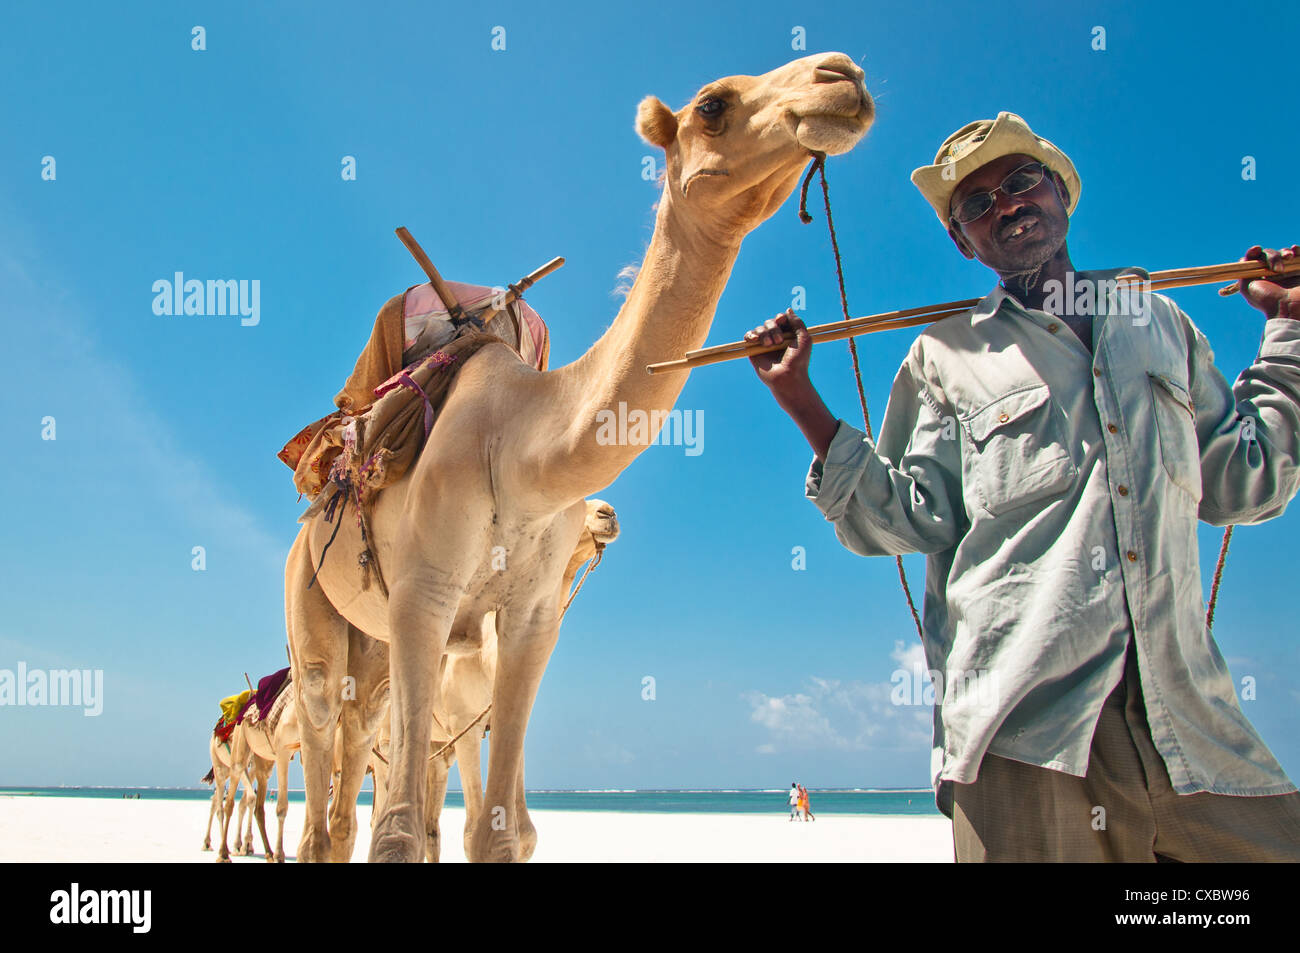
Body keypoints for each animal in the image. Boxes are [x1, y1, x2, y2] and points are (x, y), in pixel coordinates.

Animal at [371, 499, 624, 863]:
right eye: (582, 507)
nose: (609, 513)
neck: (486, 661)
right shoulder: (465, 724)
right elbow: (473, 828)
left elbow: (525, 834)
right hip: (385, 742)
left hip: (437, 753)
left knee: (430, 822)